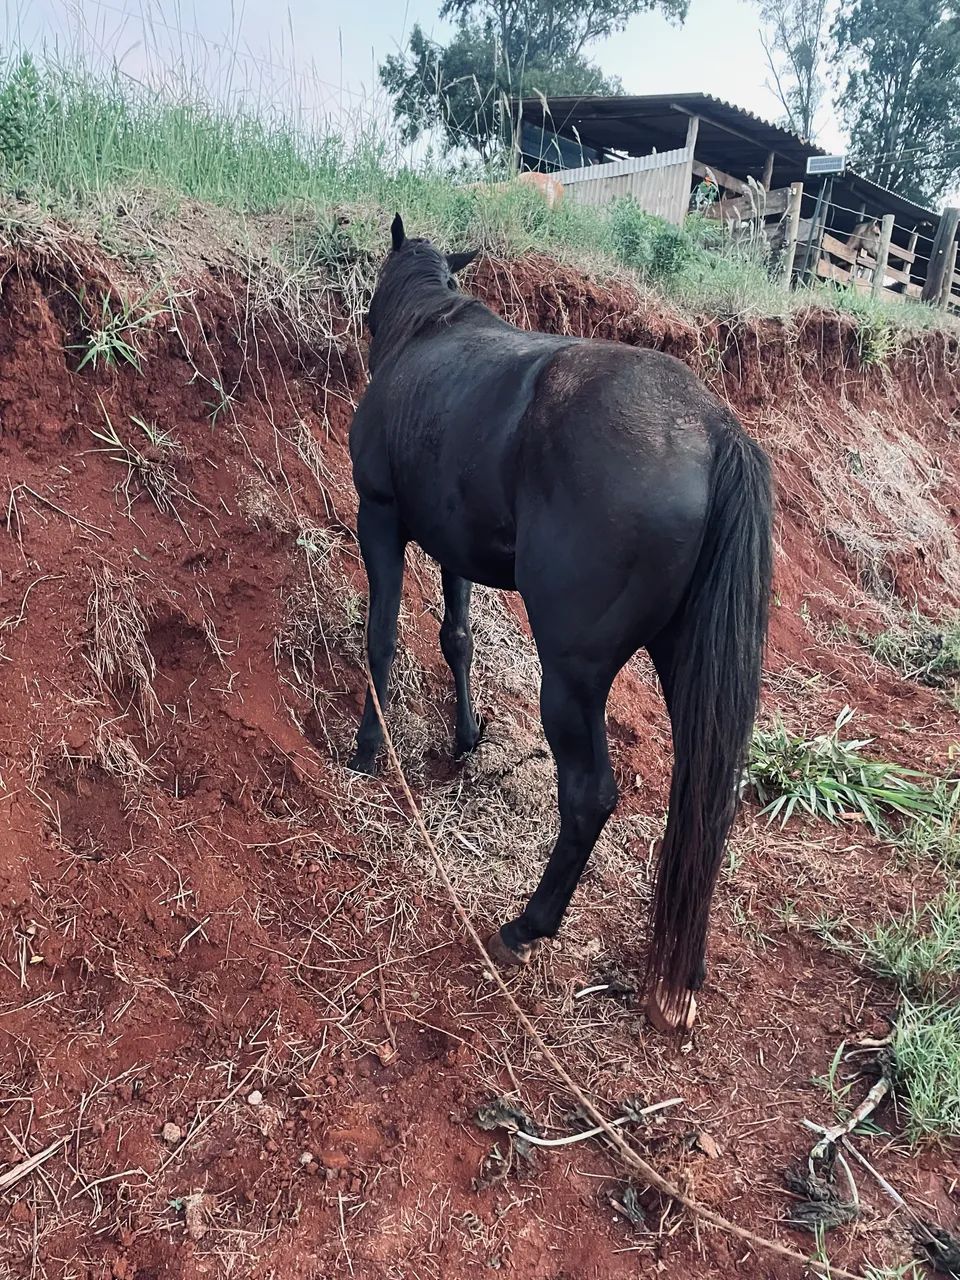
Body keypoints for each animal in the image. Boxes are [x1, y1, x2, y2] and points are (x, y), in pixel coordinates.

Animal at [347, 215, 773, 1030]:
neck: (426, 327)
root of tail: (715, 432)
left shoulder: (379, 517)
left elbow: (382, 638)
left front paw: (365, 750)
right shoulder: (453, 546)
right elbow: (457, 637)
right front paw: (465, 739)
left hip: (572, 677)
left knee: (590, 795)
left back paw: (528, 924)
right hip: (685, 666)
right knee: (710, 799)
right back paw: (686, 964)